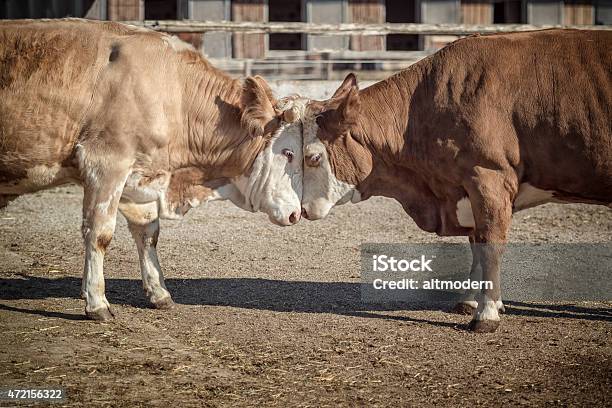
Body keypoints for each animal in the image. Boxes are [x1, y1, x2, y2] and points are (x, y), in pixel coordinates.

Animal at [0, 19, 306, 320]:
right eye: (288, 153)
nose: (296, 213)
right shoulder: (105, 163)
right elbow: (99, 233)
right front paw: (97, 302)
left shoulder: (142, 178)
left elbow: (148, 234)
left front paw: (159, 293)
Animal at [302, 31, 612, 332]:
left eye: (313, 157)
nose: (302, 210)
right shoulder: (466, 189)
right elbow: (475, 243)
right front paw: (471, 300)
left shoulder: (488, 176)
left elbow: (489, 243)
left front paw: (486, 313)